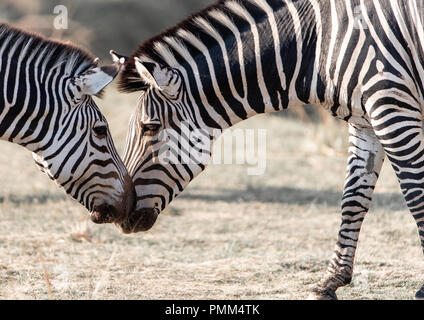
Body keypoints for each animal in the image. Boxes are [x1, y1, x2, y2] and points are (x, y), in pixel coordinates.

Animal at [117, 0, 424, 300]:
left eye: (150, 127)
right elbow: (353, 199)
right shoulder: (364, 122)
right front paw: (330, 282)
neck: (316, 46)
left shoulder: (392, 107)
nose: (122, 214)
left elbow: (415, 194)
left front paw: (422, 288)